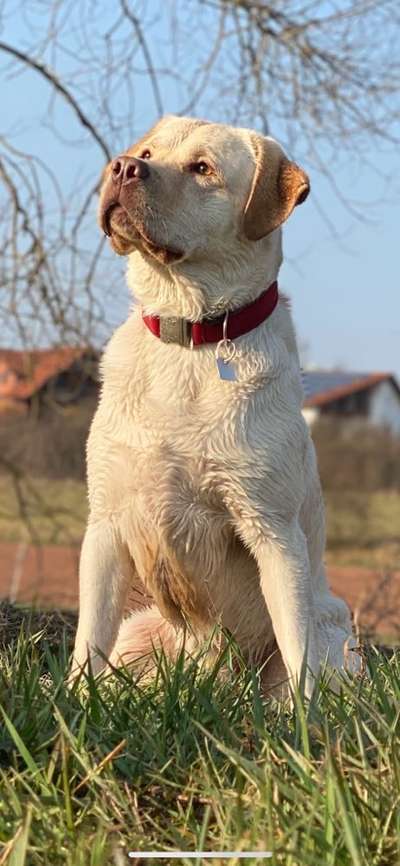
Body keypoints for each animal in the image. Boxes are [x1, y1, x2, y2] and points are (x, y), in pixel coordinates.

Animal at [70, 115, 360, 696]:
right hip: (140, 630)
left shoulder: (272, 530)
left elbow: (296, 652)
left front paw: (303, 719)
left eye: (202, 168)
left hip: (339, 641)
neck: (190, 335)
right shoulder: (106, 523)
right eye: (147, 154)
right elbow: (87, 639)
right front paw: (70, 703)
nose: (122, 167)